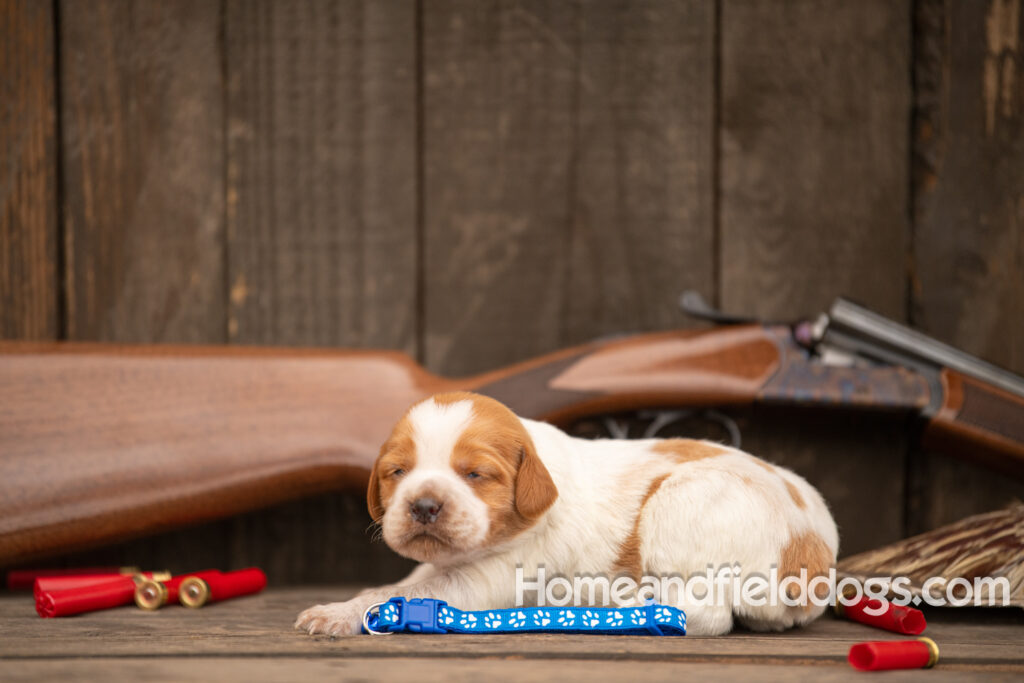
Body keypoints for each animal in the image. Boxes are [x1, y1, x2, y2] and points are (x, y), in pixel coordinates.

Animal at [296, 393, 839, 638]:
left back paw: (621, 603)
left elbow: (403, 595)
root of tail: (814, 552)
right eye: (398, 471)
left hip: (680, 501)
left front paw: (338, 612)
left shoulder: (487, 581)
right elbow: (405, 581)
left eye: (475, 474)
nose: (424, 505)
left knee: (708, 612)